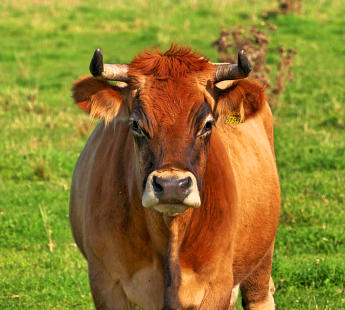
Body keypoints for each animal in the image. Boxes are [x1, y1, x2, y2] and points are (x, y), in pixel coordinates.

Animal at [70, 44, 280, 310]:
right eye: (136, 124)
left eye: (207, 124)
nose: (172, 186)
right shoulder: (106, 285)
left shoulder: (217, 285)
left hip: (261, 257)